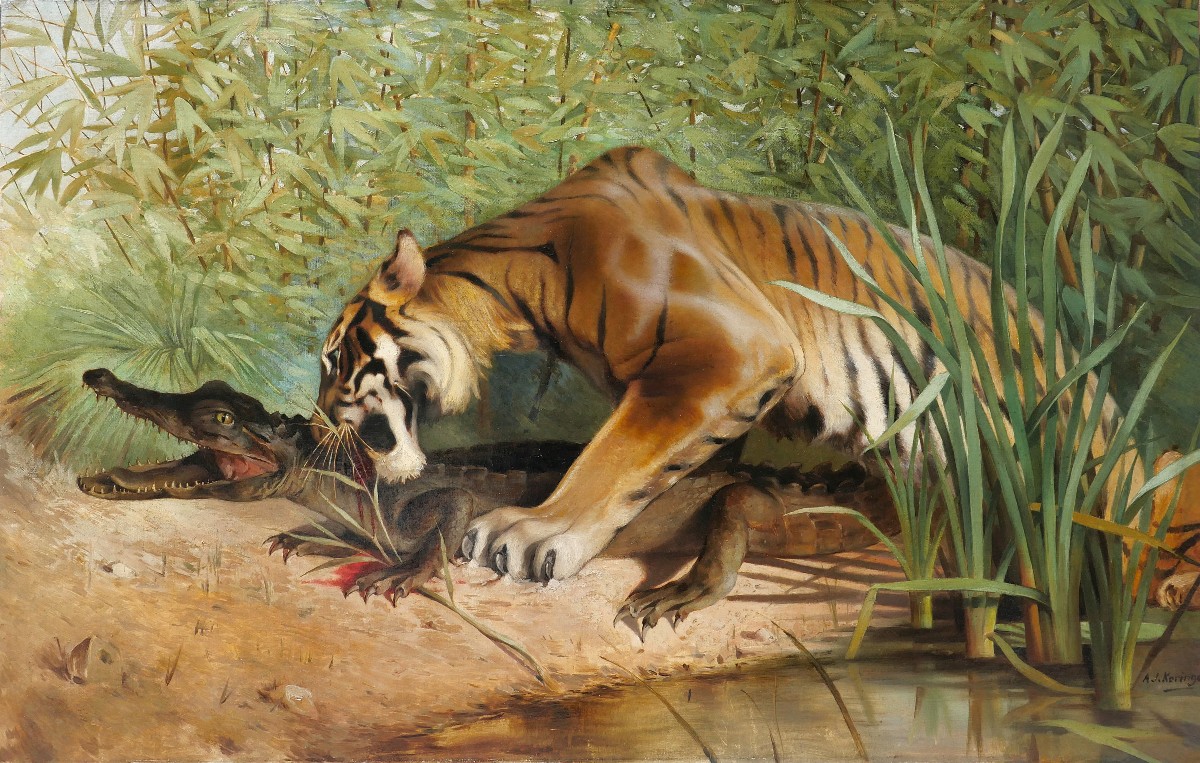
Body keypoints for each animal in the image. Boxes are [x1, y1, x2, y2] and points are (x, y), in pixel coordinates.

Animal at [314, 145, 1198, 598]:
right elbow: (666, 467)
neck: (514, 293)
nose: (317, 421)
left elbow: (609, 456)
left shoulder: (732, 350)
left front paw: (532, 530)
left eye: (331, 360)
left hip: (1093, 466)